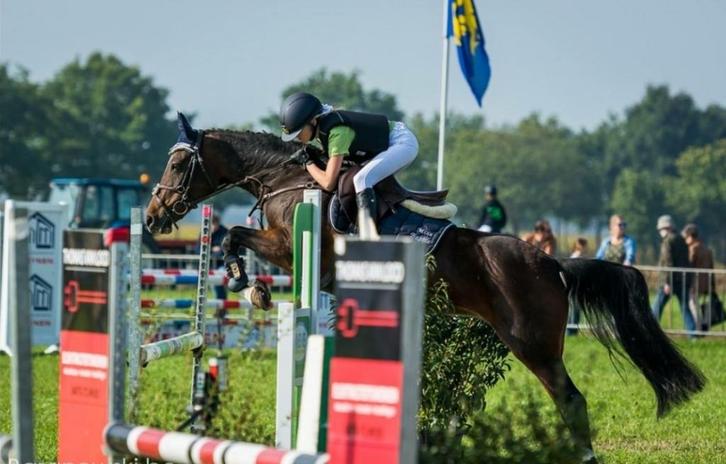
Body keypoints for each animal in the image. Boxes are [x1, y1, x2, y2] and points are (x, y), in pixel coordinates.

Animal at [145, 114, 705, 463]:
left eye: (177, 164)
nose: (151, 218)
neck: (287, 179)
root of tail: (552, 261)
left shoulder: (291, 248)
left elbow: (232, 234)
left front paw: (249, 285)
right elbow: (233, 235)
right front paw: (248, 285)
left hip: (533, 344)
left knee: (570, 398)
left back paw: (584, 455)